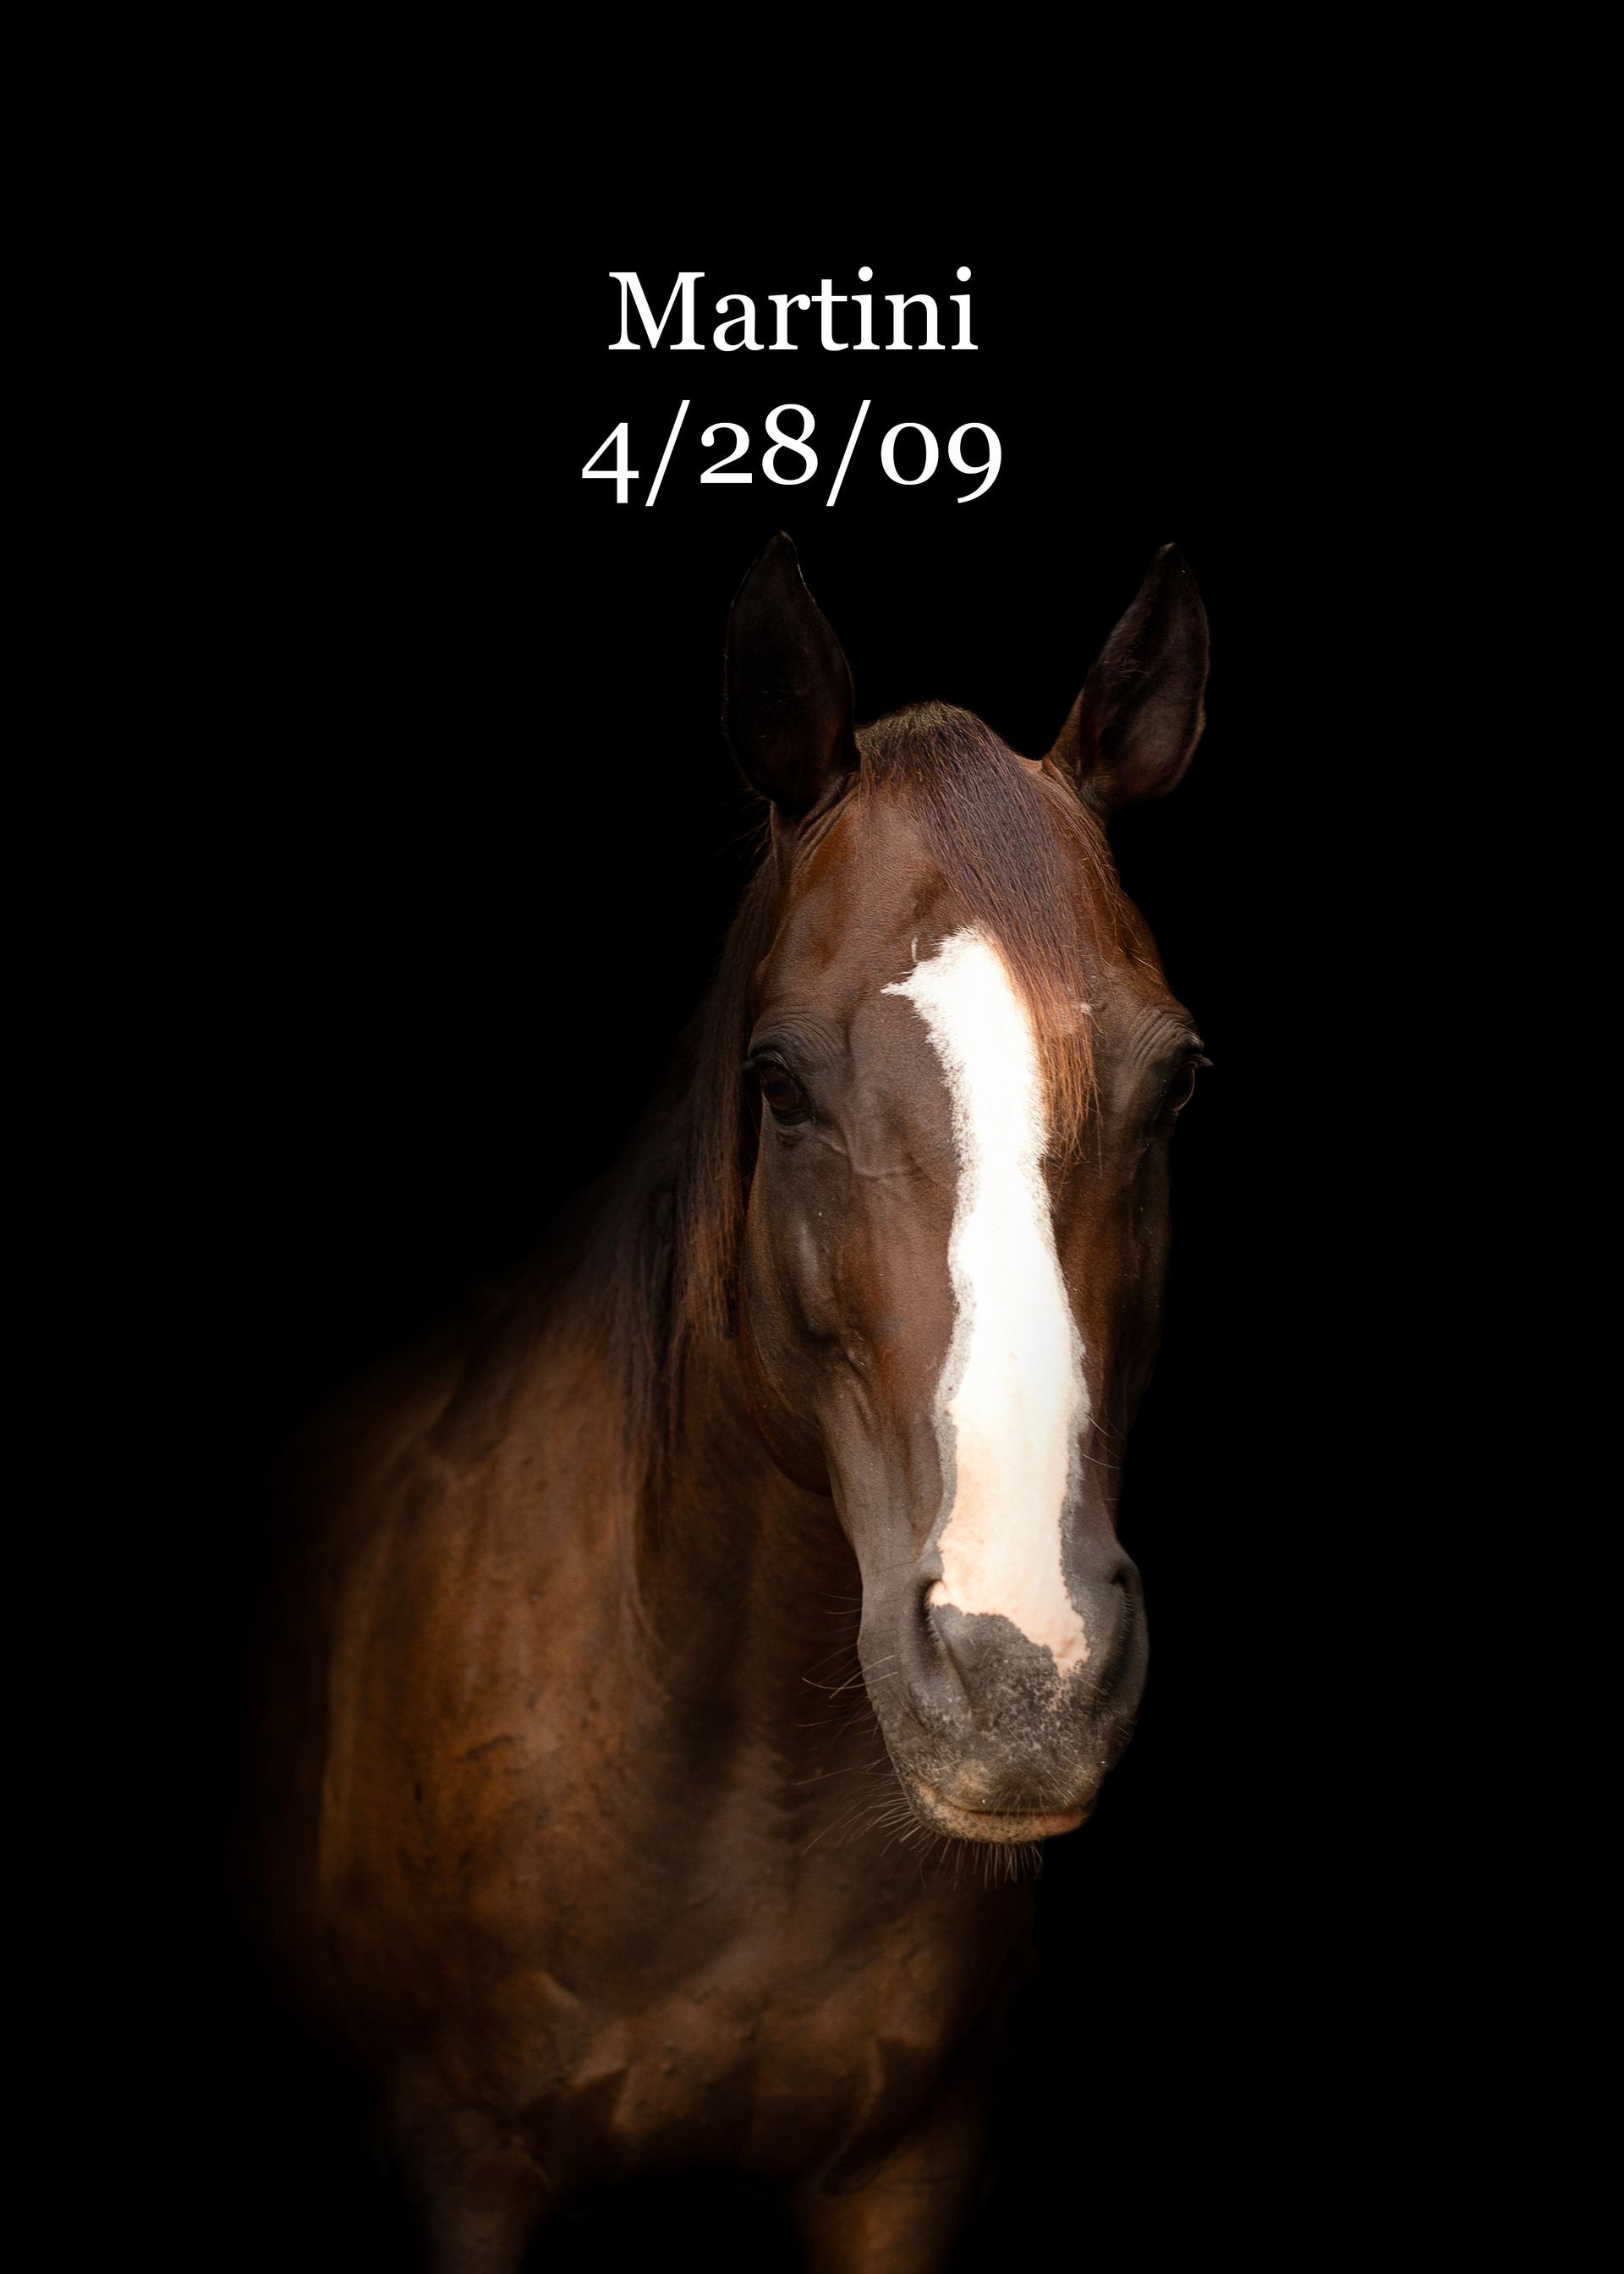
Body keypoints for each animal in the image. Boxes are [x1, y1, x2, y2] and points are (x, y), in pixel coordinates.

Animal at [246, 533, 1211, 2272]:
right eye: (780, 1080)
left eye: (1176, 1081)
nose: (1020, 1680)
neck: (742, 1785)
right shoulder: (466, 2162)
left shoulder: (906, 2175)